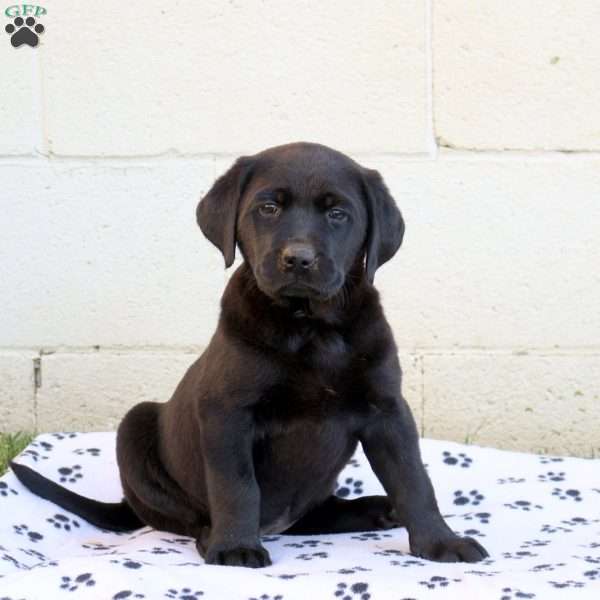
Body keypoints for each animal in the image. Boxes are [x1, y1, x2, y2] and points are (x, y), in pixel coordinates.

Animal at [9, 141, 488, 568]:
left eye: (337, 214)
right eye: (268, 208)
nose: (299, 259)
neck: (309, 327)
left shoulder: (387, 410)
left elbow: (413, 479)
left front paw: (441, 542)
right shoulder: (228, 412)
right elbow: (236, 485)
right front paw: (235, 548)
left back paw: (376, 508)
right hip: (135, 425)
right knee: (183, 516)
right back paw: (214, 537)